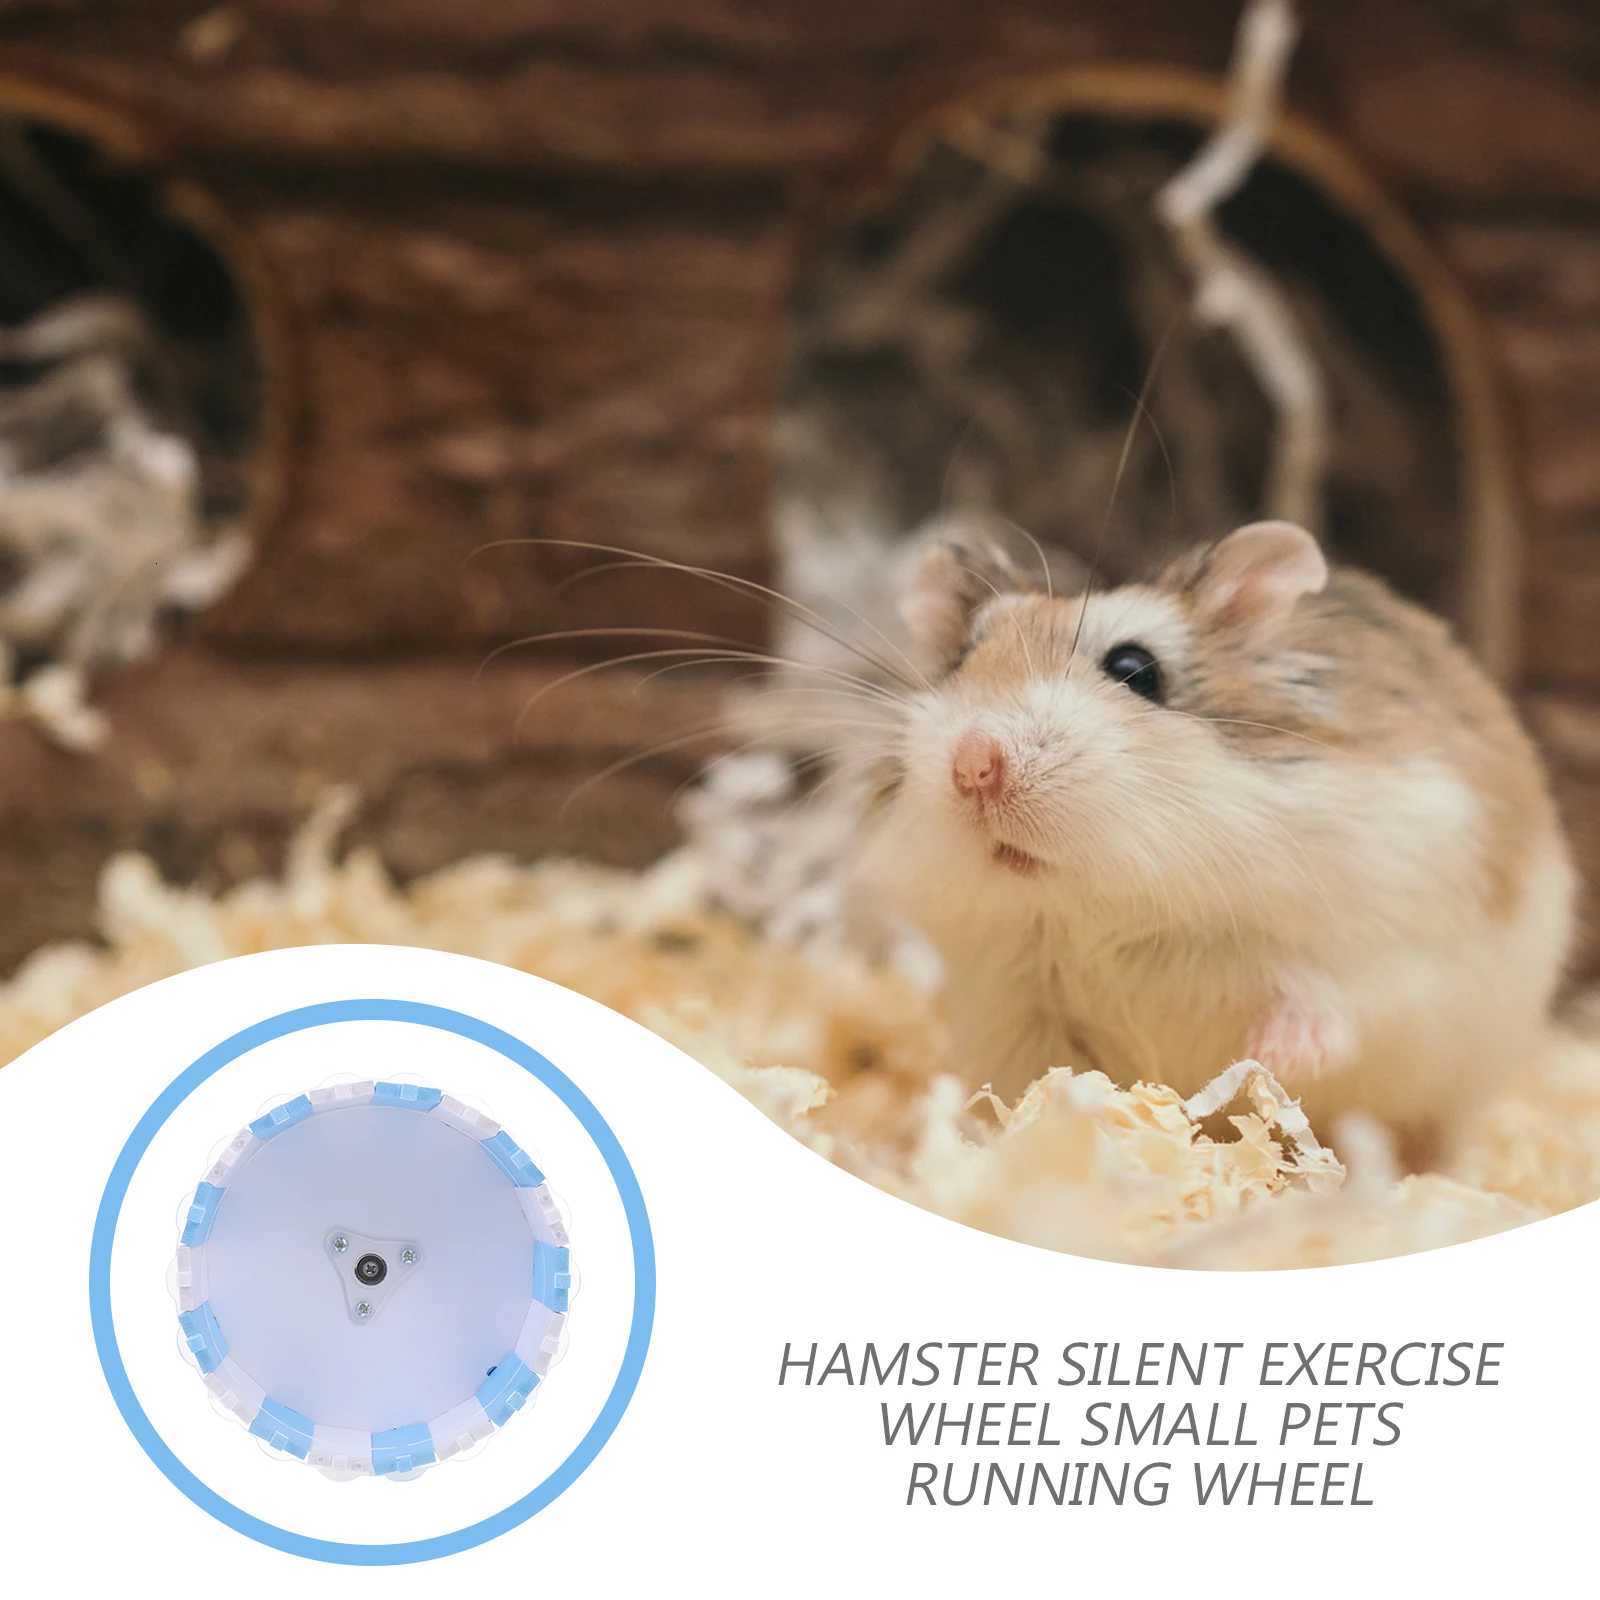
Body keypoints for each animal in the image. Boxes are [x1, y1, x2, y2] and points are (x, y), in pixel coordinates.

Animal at [846, 519, 1578, 1148]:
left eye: (1135, 669)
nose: (973, 765)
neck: (1109, 907)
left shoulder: (1390, 946)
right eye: (961, 660)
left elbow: (1333, 1002)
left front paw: (1268, 1057)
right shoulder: (1016, 1010)